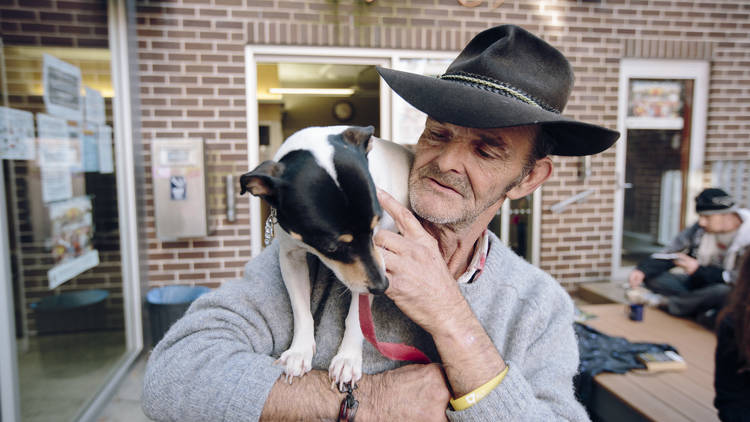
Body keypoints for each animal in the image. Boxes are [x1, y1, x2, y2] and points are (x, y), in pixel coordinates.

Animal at [241, 124, 414, 386]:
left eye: (375, 227)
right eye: (331, 247)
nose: (382, 286)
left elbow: (357, 317)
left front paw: (348, 358)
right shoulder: (291, 257)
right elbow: (300, 307)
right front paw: (299, 351)